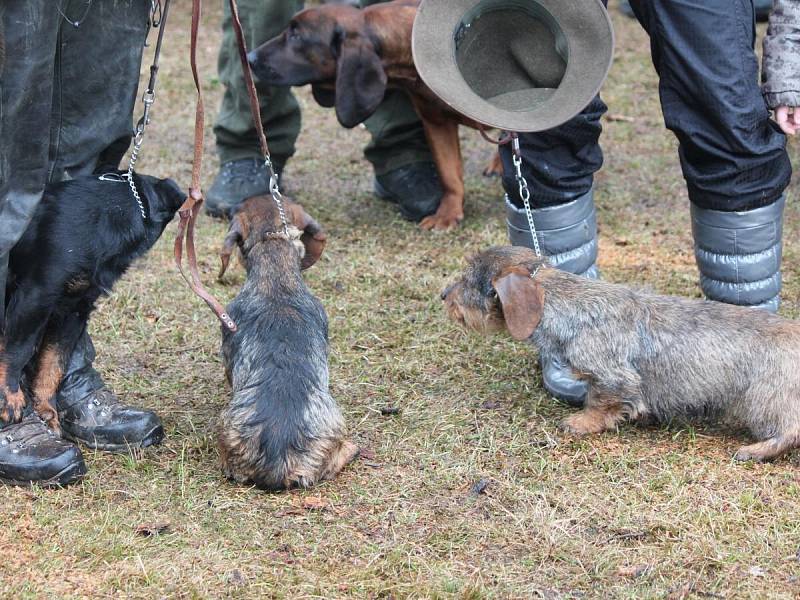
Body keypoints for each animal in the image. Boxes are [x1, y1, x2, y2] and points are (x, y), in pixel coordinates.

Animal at [0, 172, 184, 432]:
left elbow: (54, 362)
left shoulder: (74, 308)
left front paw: (47, 412)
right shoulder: (35, 296)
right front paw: (9, 398)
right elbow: (17, 349)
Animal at [446, 246, 800, 462]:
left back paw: (756, 450)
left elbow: (600, 402)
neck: (567, 303)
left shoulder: (612, 376)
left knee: (790, 430)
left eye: (470, 282)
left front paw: (581, 422)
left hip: (763, 399)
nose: (443, 296)